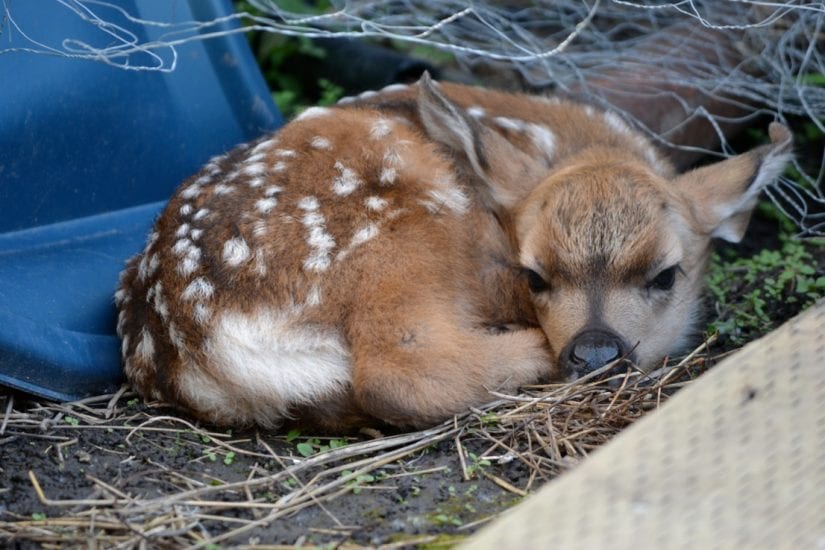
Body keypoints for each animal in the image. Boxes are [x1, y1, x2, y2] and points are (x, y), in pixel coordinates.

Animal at [116, 74, 792, 432]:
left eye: (666, 275)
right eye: (533, 275)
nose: (595, 352)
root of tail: (196, 341)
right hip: (403, 227)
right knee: (398, 369)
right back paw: (522, 354)